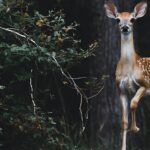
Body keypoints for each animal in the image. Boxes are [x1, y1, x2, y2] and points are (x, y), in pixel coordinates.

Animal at [104, 1, 149, 150]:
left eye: (132, 19)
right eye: (117, 19)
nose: (124, 27)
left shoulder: (145, 84)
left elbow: (133, 103)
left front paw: (135, 128)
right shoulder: (121, 90)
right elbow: (123, 121)